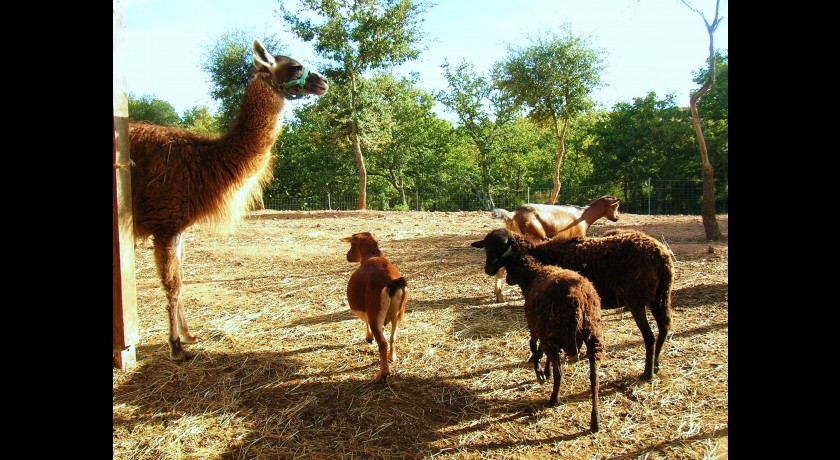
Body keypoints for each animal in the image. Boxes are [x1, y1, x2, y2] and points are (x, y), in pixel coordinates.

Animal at [472, 226, 676, 380]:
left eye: (504, 246)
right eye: (486, 247)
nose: (489, 269)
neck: (538, 253)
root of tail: (661, 255)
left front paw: (539, 362)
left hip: (637, 299)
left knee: (649, 336)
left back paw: (647, 373)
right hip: (661, 296)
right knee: (664, 327)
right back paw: (656, 365)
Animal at [498, 250, 604, 434]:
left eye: (509, 266)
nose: (508, 280)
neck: (531, 276)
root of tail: (578, 301)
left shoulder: (535, 328)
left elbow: (533, 347)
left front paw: (540, 373)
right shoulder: (545, 333)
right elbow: (542, 352)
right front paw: (545, 371)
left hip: (555, 333)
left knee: (559, 372)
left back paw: (553, 399)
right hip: (593, 335)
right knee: (594, 377)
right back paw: (595, 420)